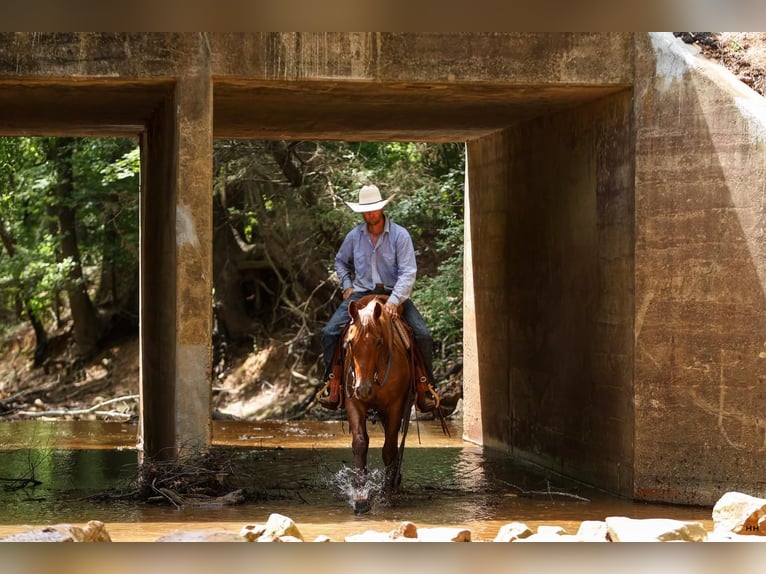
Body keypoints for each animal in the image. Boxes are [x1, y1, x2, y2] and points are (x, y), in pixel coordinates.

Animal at [344, 294, 414, 516]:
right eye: (350, 343)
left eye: (378, 342)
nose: (363, 388)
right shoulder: (354, 402)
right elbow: (360, 444)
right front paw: (360, 497)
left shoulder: (395, 407)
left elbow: (389, 449)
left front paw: (387, 494)